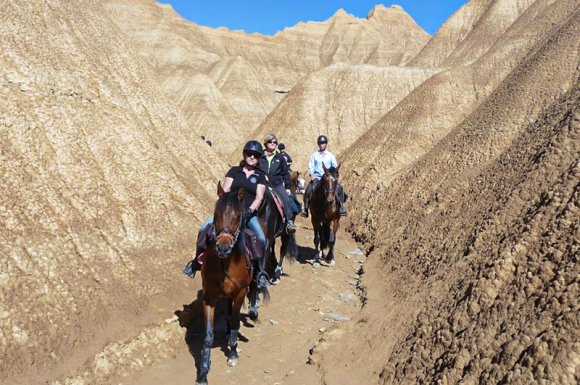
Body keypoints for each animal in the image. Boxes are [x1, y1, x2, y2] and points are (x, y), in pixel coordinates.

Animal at [196, 182, 258, 384]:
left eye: (238, 216)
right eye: (216, 214)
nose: (222, 247)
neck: (227, 262)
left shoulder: (240, 292)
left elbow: (236, 321)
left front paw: (233, 354)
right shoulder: (209, 296)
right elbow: (208, 335)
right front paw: (203, 372)